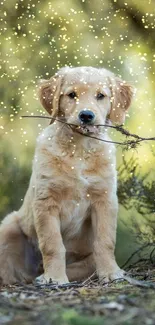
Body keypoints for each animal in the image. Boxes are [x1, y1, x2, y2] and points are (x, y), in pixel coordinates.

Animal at [0, 66, 133, 284]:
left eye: (101, 96)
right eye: (72, 95)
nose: (86, 115)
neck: (79, 149)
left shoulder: (104, 199)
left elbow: (105, 241)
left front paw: (111, 272)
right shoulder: (46, 201)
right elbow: (52, 244)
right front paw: (54, 277)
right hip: (9, 226)